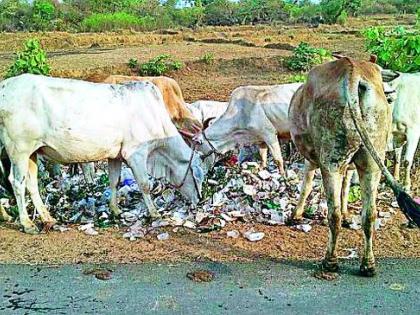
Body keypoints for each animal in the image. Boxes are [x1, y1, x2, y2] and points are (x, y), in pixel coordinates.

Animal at [0, 73, 203, 232]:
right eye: (197, 177)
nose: (200, 200)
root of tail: (4, 86)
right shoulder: (135, 154)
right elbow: (144, 185)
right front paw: (154, 213)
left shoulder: (116, 156)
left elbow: (114, 181)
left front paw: (115, 210)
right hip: (19, 150)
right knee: (17, 183)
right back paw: (27, 223)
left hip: (32, 153)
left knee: (31, 184)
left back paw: (46, 218)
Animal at [288, 57, 398, 276]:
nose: (391, 96)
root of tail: (353, 70)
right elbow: (346, 187)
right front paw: (348, 215)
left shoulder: (312, 159)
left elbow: (306, 185)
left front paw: (295, 214)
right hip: (372, 162)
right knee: (369, 214)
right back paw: (368, 265)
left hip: (331, 160)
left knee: (334, 214)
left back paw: (330, 261)